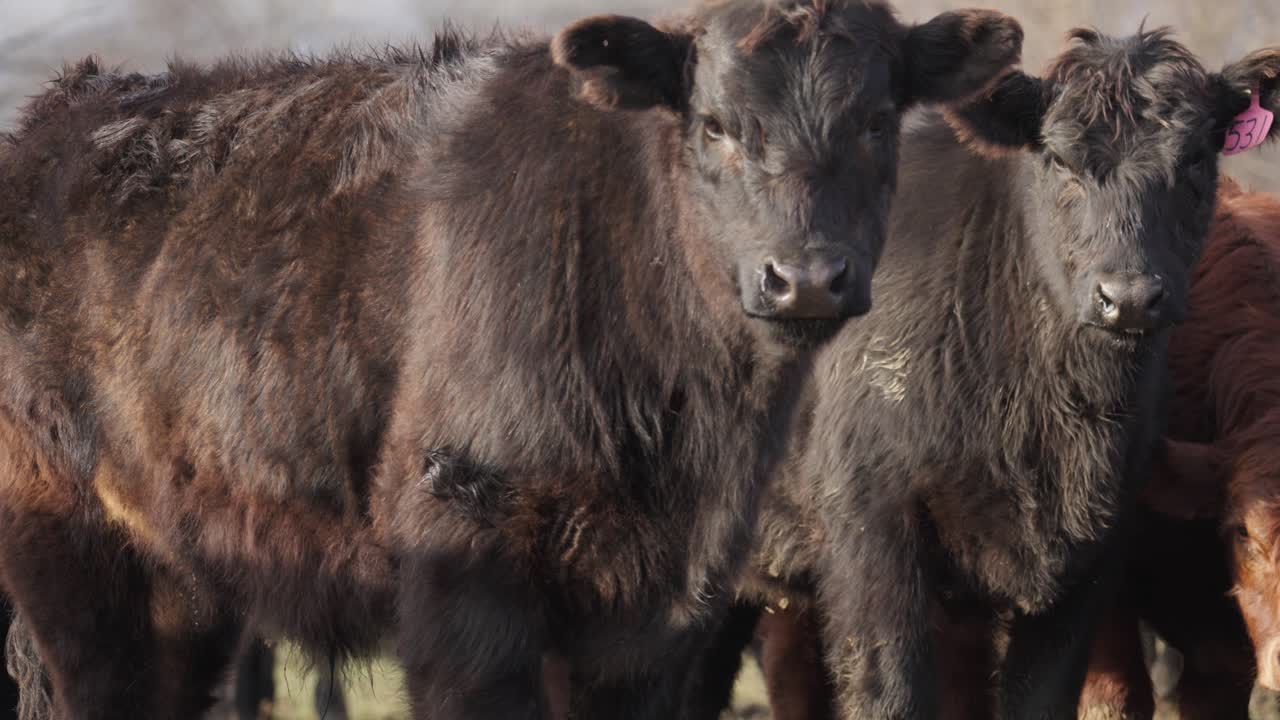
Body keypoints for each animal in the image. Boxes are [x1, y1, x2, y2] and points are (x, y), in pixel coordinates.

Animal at [0, 1, 1027, 718]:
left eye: (878, 120)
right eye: (716, 125)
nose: (807, 276)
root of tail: (64, 109)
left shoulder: (658, 607)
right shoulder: (466, 575)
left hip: (178, 572)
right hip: (66, 549)